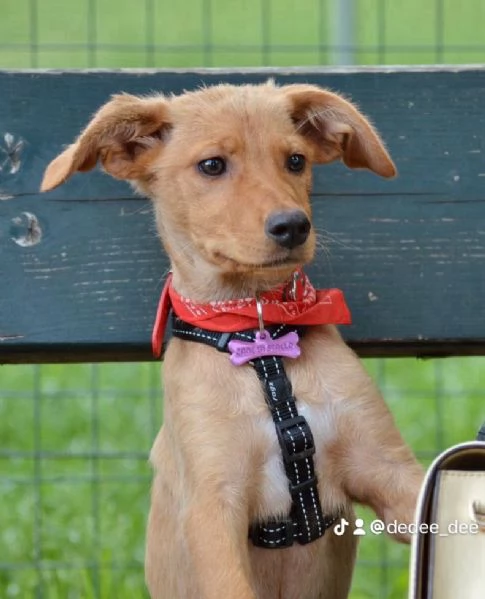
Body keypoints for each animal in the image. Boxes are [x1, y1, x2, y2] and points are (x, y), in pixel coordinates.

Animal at [41, 80, 424, 599]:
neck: (260, 339)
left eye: (296, 160)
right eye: (212, 165)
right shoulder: (212, 510)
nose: (293, 226)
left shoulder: (389, 470)